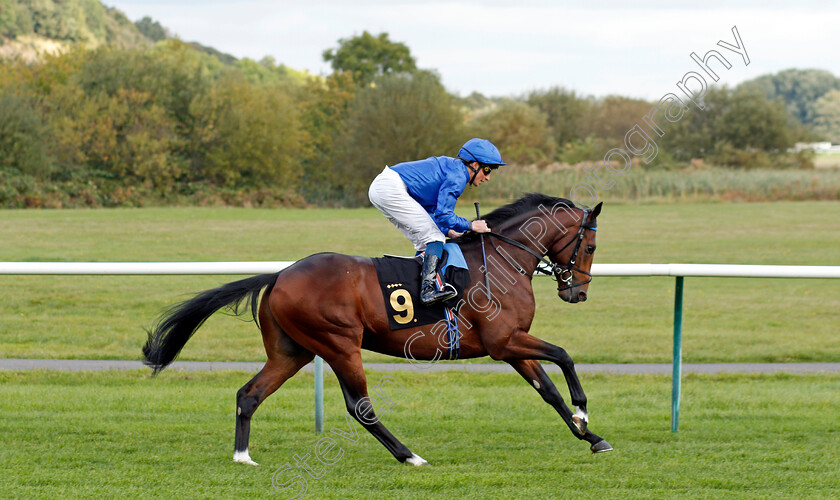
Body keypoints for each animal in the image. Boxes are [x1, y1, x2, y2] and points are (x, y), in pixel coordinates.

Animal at [143, 193, 612, 466]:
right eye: (590, 245)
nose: (578, 293)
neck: (500, 259)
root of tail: (280, 275)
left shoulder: (512, 345)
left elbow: (548, 391)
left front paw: (590, 436)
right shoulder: (504, 341)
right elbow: (565, 355)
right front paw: (584, 412)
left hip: (292, 351)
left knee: (249, 394)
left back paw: (243, 457)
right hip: (339, 344)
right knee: (360, 407)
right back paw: (410, 456)